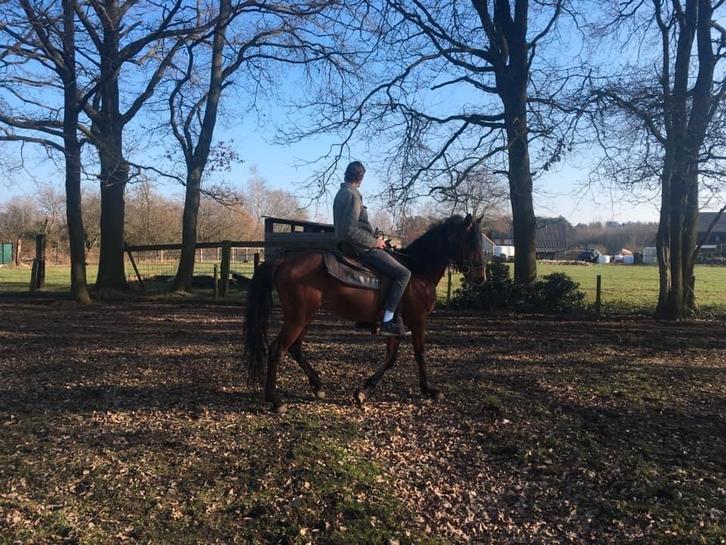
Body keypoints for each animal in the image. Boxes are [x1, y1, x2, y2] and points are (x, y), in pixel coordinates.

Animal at [242, 213, 486, 413]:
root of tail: (283, 261)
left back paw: (318, 386)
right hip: (298, 318)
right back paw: (275, 400)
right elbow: (420, 354)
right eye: (471, 242)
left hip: (305, 317)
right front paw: (429, 389)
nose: (481, 278)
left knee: (295, 348)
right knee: (277, 350)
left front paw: (364, 390)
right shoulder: (418, 321)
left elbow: (391, 358)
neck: (417, 271)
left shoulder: (396, 327)